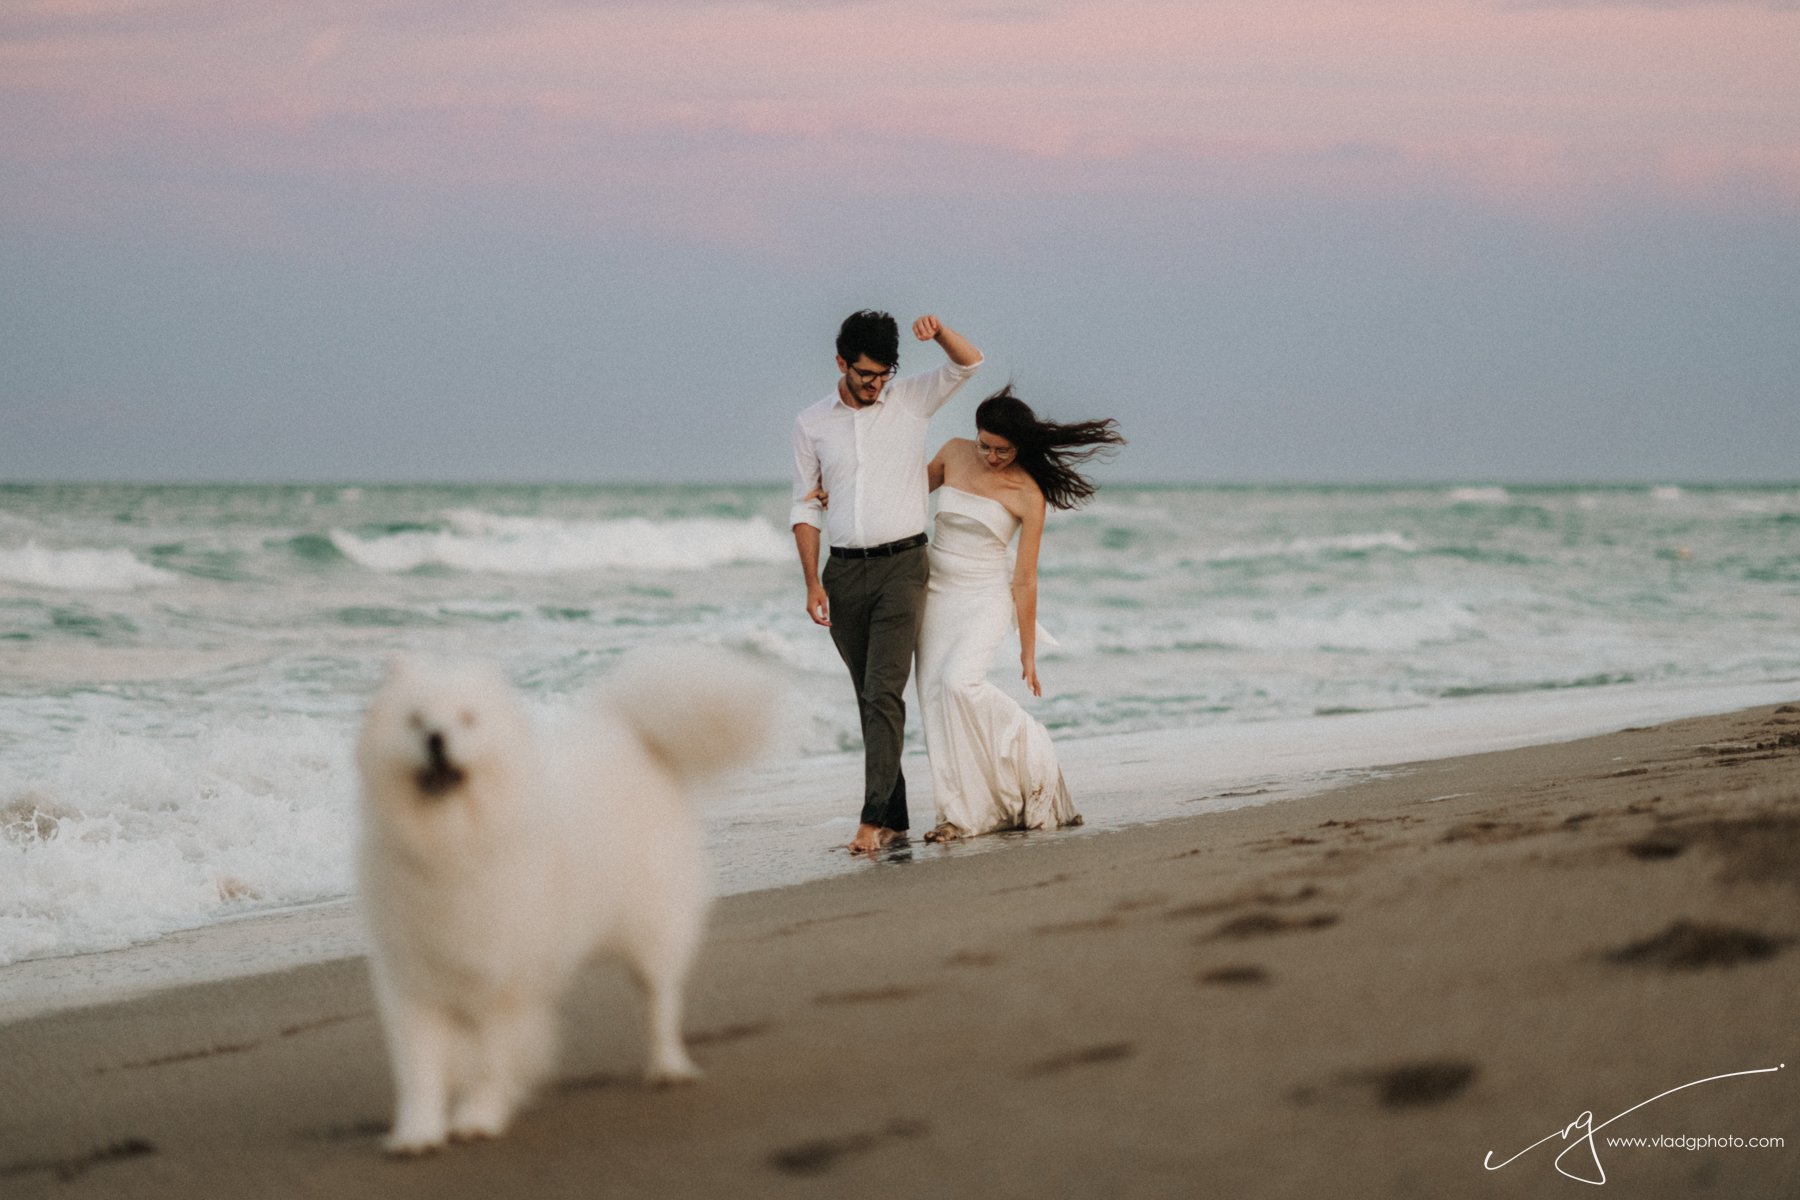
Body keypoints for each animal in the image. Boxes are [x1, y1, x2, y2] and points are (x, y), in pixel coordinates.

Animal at [354, 651, 770, 1158]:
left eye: (467, 719)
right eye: (414, 720)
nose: (436, 737)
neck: (453, 842)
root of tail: (628, 729)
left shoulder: (503, 980)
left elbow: (490, 1060)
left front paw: (478, 1116)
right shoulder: (415, 982)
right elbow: (420, 1071)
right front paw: (418, 1133)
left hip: (652, 932)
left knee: (660, 1003)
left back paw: (667, 1067)